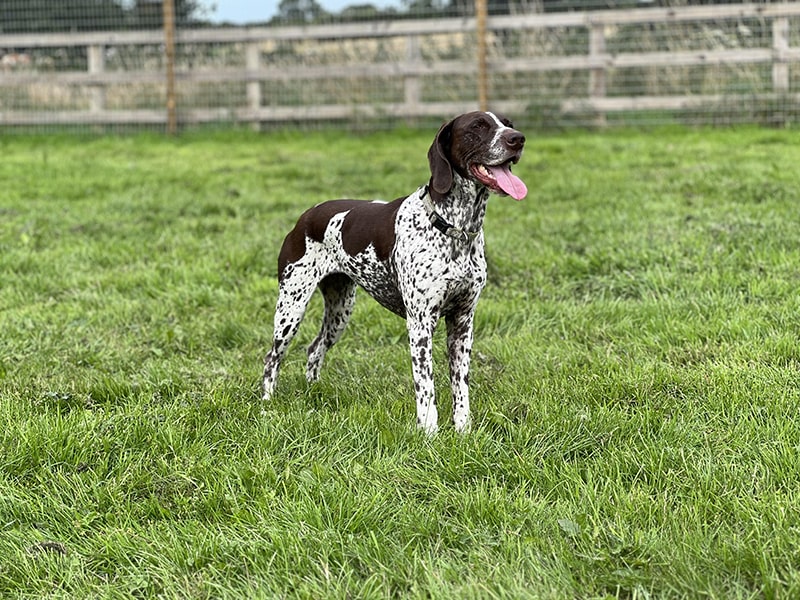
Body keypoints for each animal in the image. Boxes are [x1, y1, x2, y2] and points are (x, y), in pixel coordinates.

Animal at [260, 111, 528, 432]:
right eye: (478, 126)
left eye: (507, 123)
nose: (518, 139)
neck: (454, 227)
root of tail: (307, 215)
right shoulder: (420, 323)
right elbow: (426, 386)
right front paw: (429, 432)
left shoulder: (463, 321)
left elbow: (460, 386)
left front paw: (463, 430)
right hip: (291, 309)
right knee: (271, 358)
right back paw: (267, 403)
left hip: (340, 311)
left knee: (314, 349)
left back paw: (313, 391)